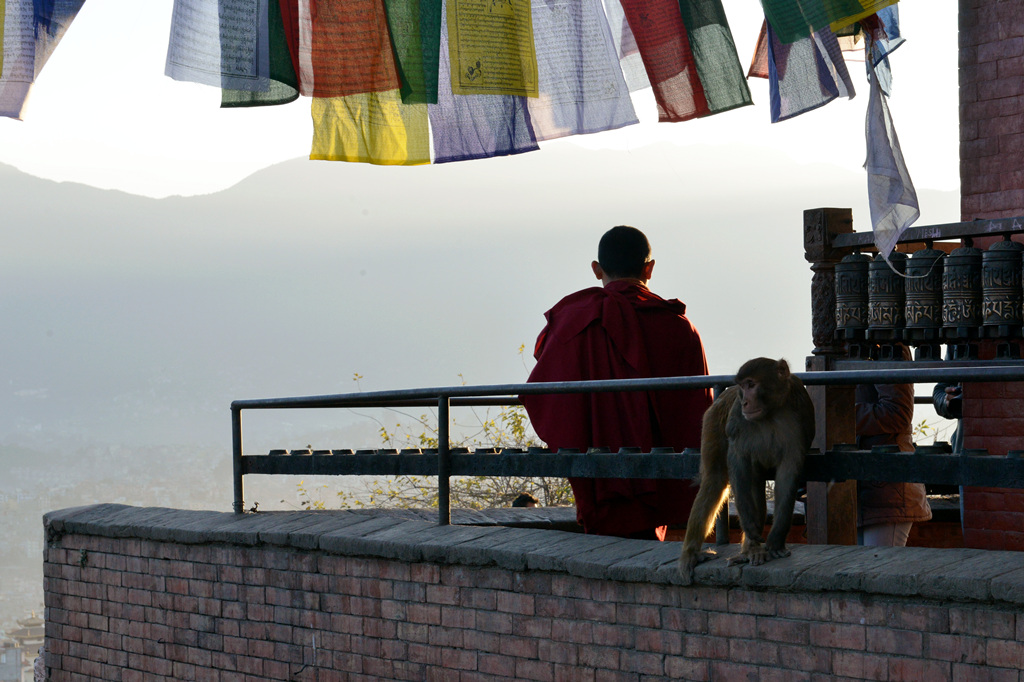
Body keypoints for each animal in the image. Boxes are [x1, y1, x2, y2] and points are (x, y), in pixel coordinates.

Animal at [679, 352, 815, 581]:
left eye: (751, 384)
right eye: (743, 386)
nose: (744, 401)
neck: (771, 412)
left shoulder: (801, 413)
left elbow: (788, 470)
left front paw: (776, 538)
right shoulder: (737, 421)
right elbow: (738, 458)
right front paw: (751, 526)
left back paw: (750, 550)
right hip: (714, 420)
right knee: (716, 480)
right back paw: (694, 553)